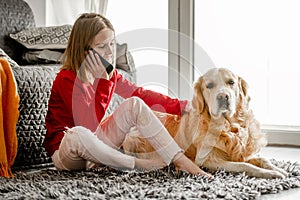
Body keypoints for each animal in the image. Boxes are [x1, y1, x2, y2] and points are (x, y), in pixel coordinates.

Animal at [122, 68, 288, 179]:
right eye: (209, 85)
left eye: (231, 82)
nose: (223, 96)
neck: (228, 127)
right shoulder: (208, 160)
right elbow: (244, 165)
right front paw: (270, 173)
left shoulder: (242, 152)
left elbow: (262, 159)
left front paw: (278, 170)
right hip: (136, 138)